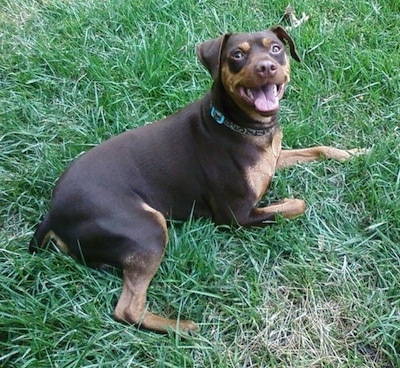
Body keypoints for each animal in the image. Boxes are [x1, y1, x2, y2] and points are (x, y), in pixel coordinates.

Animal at [28, 26, 362, 334]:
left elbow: (319, 149)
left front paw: (356, 153)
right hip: (147, 230)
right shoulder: (235, 217)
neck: (242, 126)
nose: (267, 67)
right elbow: (297, 204)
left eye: (276, 48)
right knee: (127, 309)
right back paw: (182, 327)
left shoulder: (274, 157)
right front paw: (292, 199)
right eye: (236, 55)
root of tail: (53, 213)